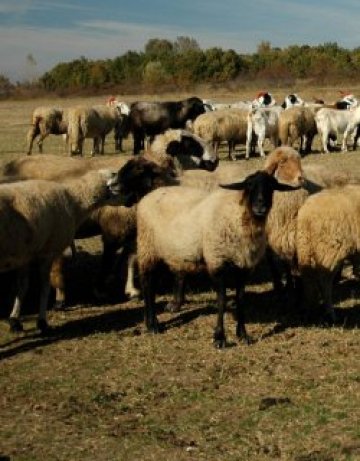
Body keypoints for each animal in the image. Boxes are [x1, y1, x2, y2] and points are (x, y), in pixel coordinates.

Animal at [0, 167, 123, 332]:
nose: (133, 201)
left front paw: (14, 320)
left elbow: (22, 288)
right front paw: (42, 321)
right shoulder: (47, 252)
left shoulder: (25, 255)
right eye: (118, 182)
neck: (73, 200)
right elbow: (45, 287)